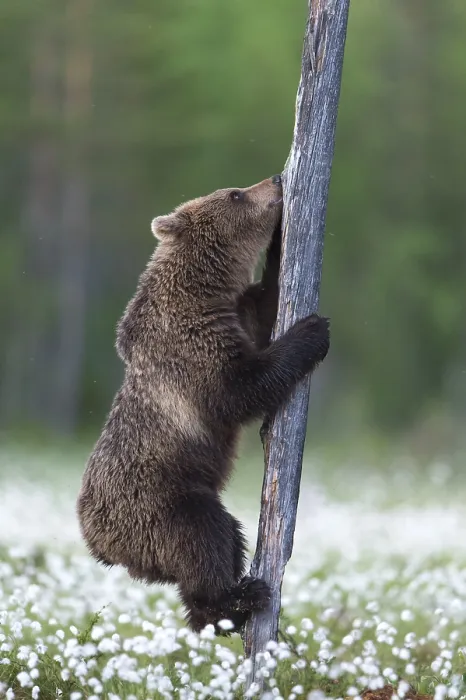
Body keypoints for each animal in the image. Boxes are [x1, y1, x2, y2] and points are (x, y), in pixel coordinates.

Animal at [77, 175, 330, 634]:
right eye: (235, 193)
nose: (275, 180)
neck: (202, 290)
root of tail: (100, 546)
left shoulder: (235, 314)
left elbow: (266, 301)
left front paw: (280, 245)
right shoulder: (190, 345)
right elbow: (238, 390)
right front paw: (312, 329)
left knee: (227, 534)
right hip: (160, 504)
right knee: (202, 533)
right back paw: (236, 598)